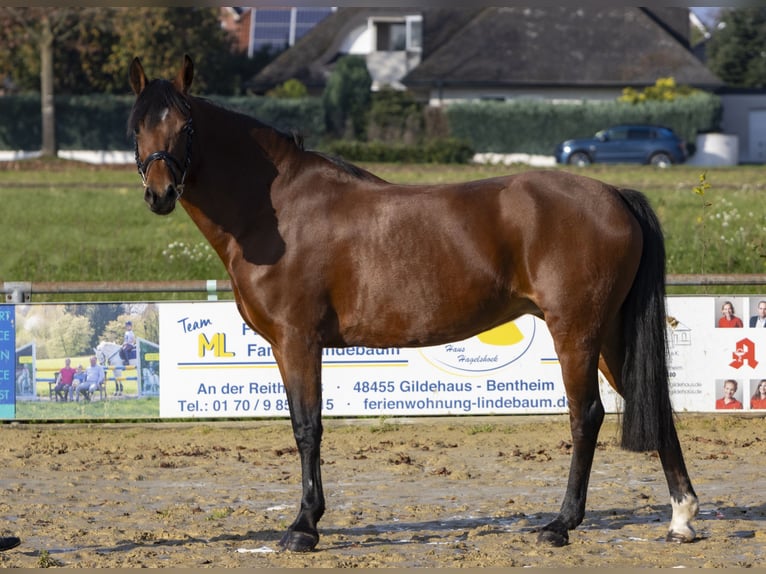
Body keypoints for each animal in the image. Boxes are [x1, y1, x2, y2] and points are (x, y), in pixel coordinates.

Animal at [127, 56, 704, 556]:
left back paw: (561, 523)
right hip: (609, 334)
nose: (160, 192)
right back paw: (681, 517)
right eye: (137, 126)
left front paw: (304, 527)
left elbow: (307, 428)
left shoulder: (298, 341)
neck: (275, 213)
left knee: (586, 416)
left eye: (185, 126)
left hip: (576, 332)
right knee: (655, 404)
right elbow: (303, 424)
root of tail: (614, 194)